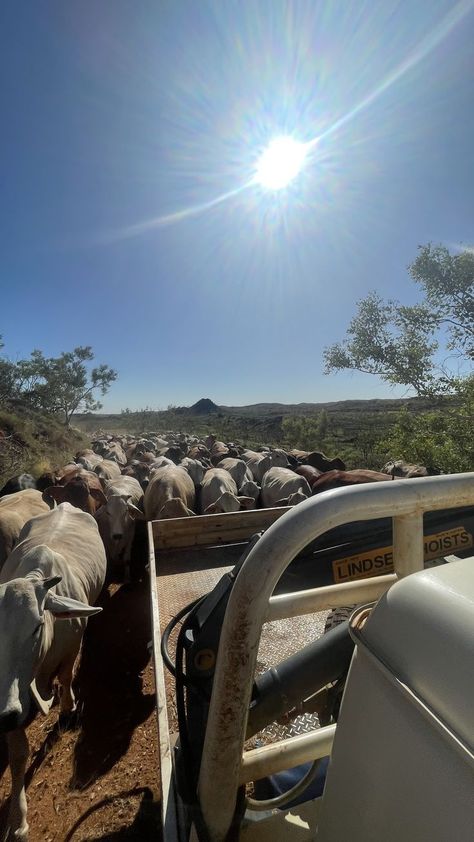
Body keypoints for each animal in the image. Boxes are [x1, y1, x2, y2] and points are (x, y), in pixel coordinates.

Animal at [0, 502, 105, 836]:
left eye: (36, 626)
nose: (5, 713)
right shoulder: (13, 699)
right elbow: (18, 754)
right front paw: (18, 819)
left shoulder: (71, 650)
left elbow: (67, 676)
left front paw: (68, 707)